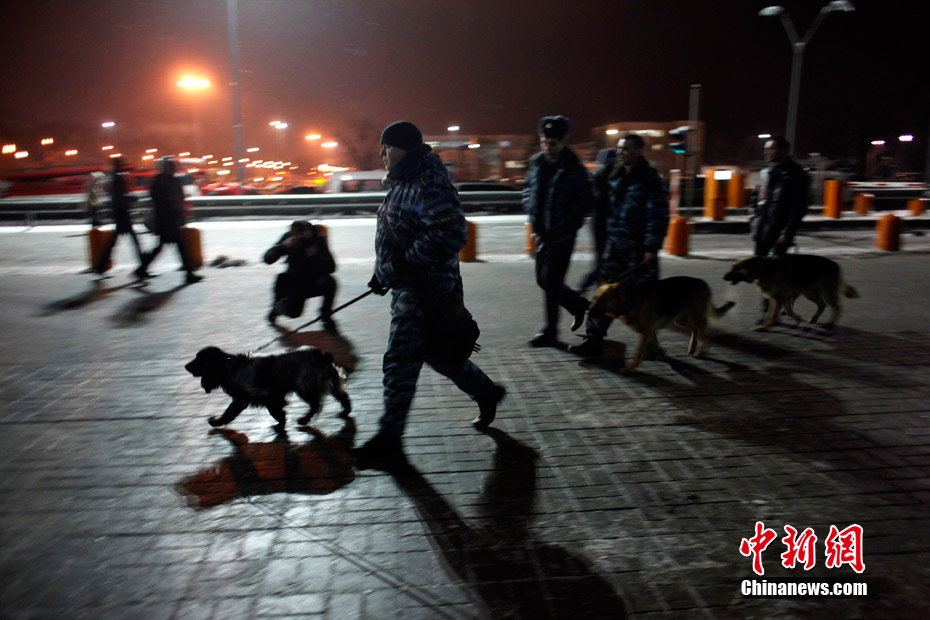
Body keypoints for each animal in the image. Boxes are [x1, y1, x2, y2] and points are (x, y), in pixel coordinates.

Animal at [185, 346, 352, 428]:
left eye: (198, 360)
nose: (185, 366)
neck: (228, 366)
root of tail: (323, 354)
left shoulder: (268, 395)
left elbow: (275, 411)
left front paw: (281, 423)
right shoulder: (240, 399)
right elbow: (228, 413)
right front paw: (217, 422)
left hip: (305, 386)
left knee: (316, 404)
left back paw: (304, 420)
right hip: (329, 381)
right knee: (342, 396)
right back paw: (345, 412)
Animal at [588, 278, 732, 372]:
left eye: (604, 299)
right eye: (595, 298)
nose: (588, 311)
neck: (627, 301)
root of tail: (702, 282)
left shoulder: (645, 332)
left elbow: (638, 352)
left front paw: (630, 368)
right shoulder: (649, 331)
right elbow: (655, 343)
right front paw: (662, 352)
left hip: (696, 317)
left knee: (709, 334)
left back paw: (702, 352)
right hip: (681, 320)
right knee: (695, 329)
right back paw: (692, 346)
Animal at [720, 253, 860, 330]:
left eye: (736, 267)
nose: (723, 277)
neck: (763, 269)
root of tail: (836, 264)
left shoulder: (778, 299)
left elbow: (773, 314)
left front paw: (765, 327)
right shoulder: (779, 298)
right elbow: (785, 311)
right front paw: (796, 320)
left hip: (826, 293)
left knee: (837, 307)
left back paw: (830, 324)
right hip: (810, 293)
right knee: (822, 305)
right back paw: (814, 319)